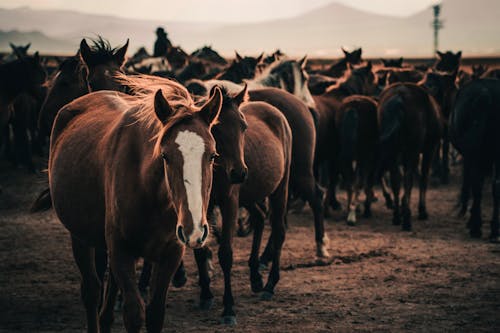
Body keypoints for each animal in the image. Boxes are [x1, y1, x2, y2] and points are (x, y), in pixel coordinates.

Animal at [48, 76, 223, 332]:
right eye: (165, 156)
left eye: (212, 156)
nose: (194, 231)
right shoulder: (121, 250)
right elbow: (133, 314)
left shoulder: (170, 254)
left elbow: (155, 313)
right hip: (79, 237)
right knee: (91, 290)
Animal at [376, 81, 444, 230]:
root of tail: (399, 97)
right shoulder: (429, 149)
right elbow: (423, 178)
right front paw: (422, 210)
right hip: (412, 150)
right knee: (408, 179)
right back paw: (407, 219)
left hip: (392, 150)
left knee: (396, 179)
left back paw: (397, 216)